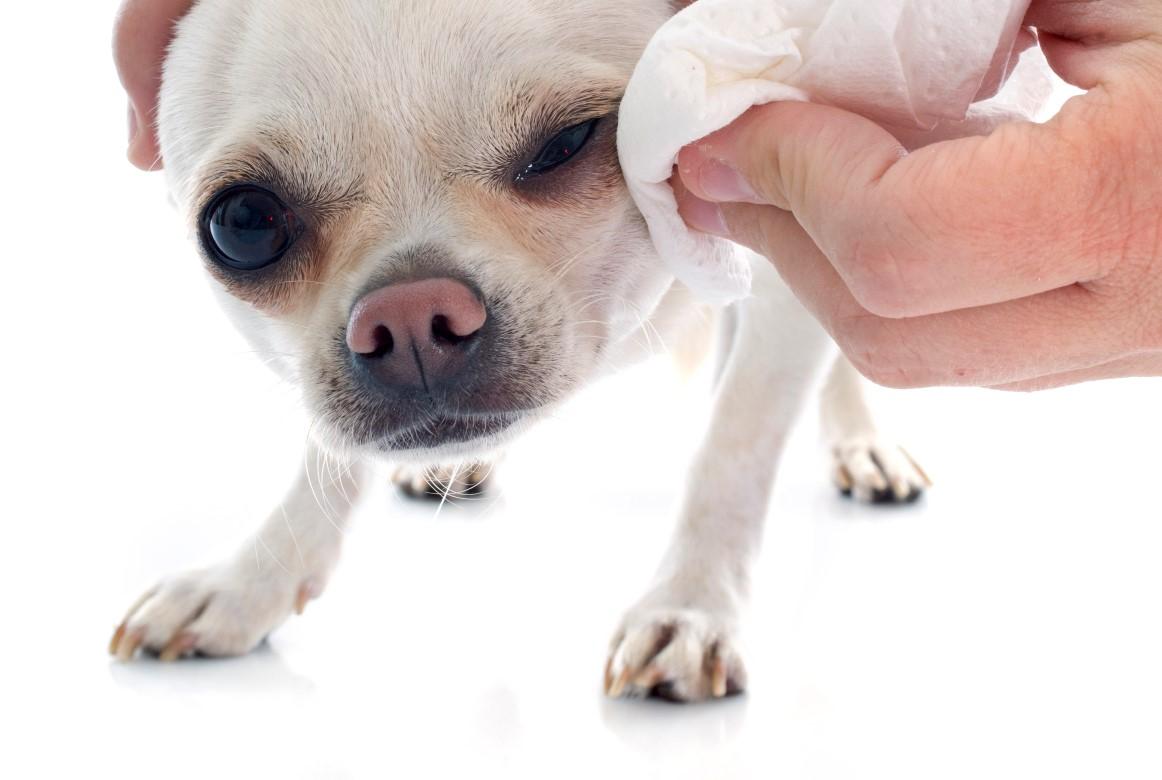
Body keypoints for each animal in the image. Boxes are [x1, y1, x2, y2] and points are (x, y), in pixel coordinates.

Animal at [109, 0, 924, 706]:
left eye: (567, 142)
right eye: (243, 223)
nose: (408, 317)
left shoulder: (791, 258)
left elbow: (734, 447)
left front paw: (690, 604)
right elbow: (328, 459)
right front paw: (251, 581)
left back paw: (862, 444)